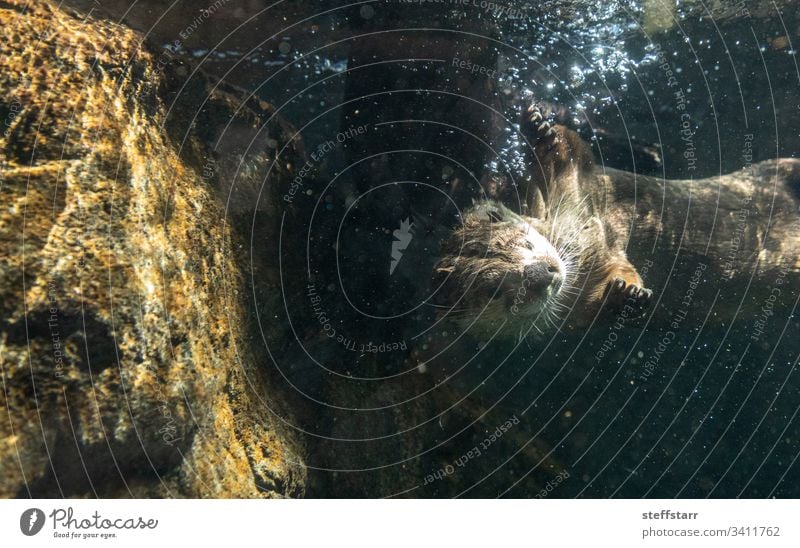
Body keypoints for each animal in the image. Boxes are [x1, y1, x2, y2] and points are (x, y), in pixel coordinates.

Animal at [434, 104, 652, 338]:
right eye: (494, 291)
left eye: (526, 244)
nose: (545, 274)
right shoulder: (576, 316)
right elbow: (614, 274)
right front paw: (622, 296)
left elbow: (573, 150)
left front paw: (537, 129)